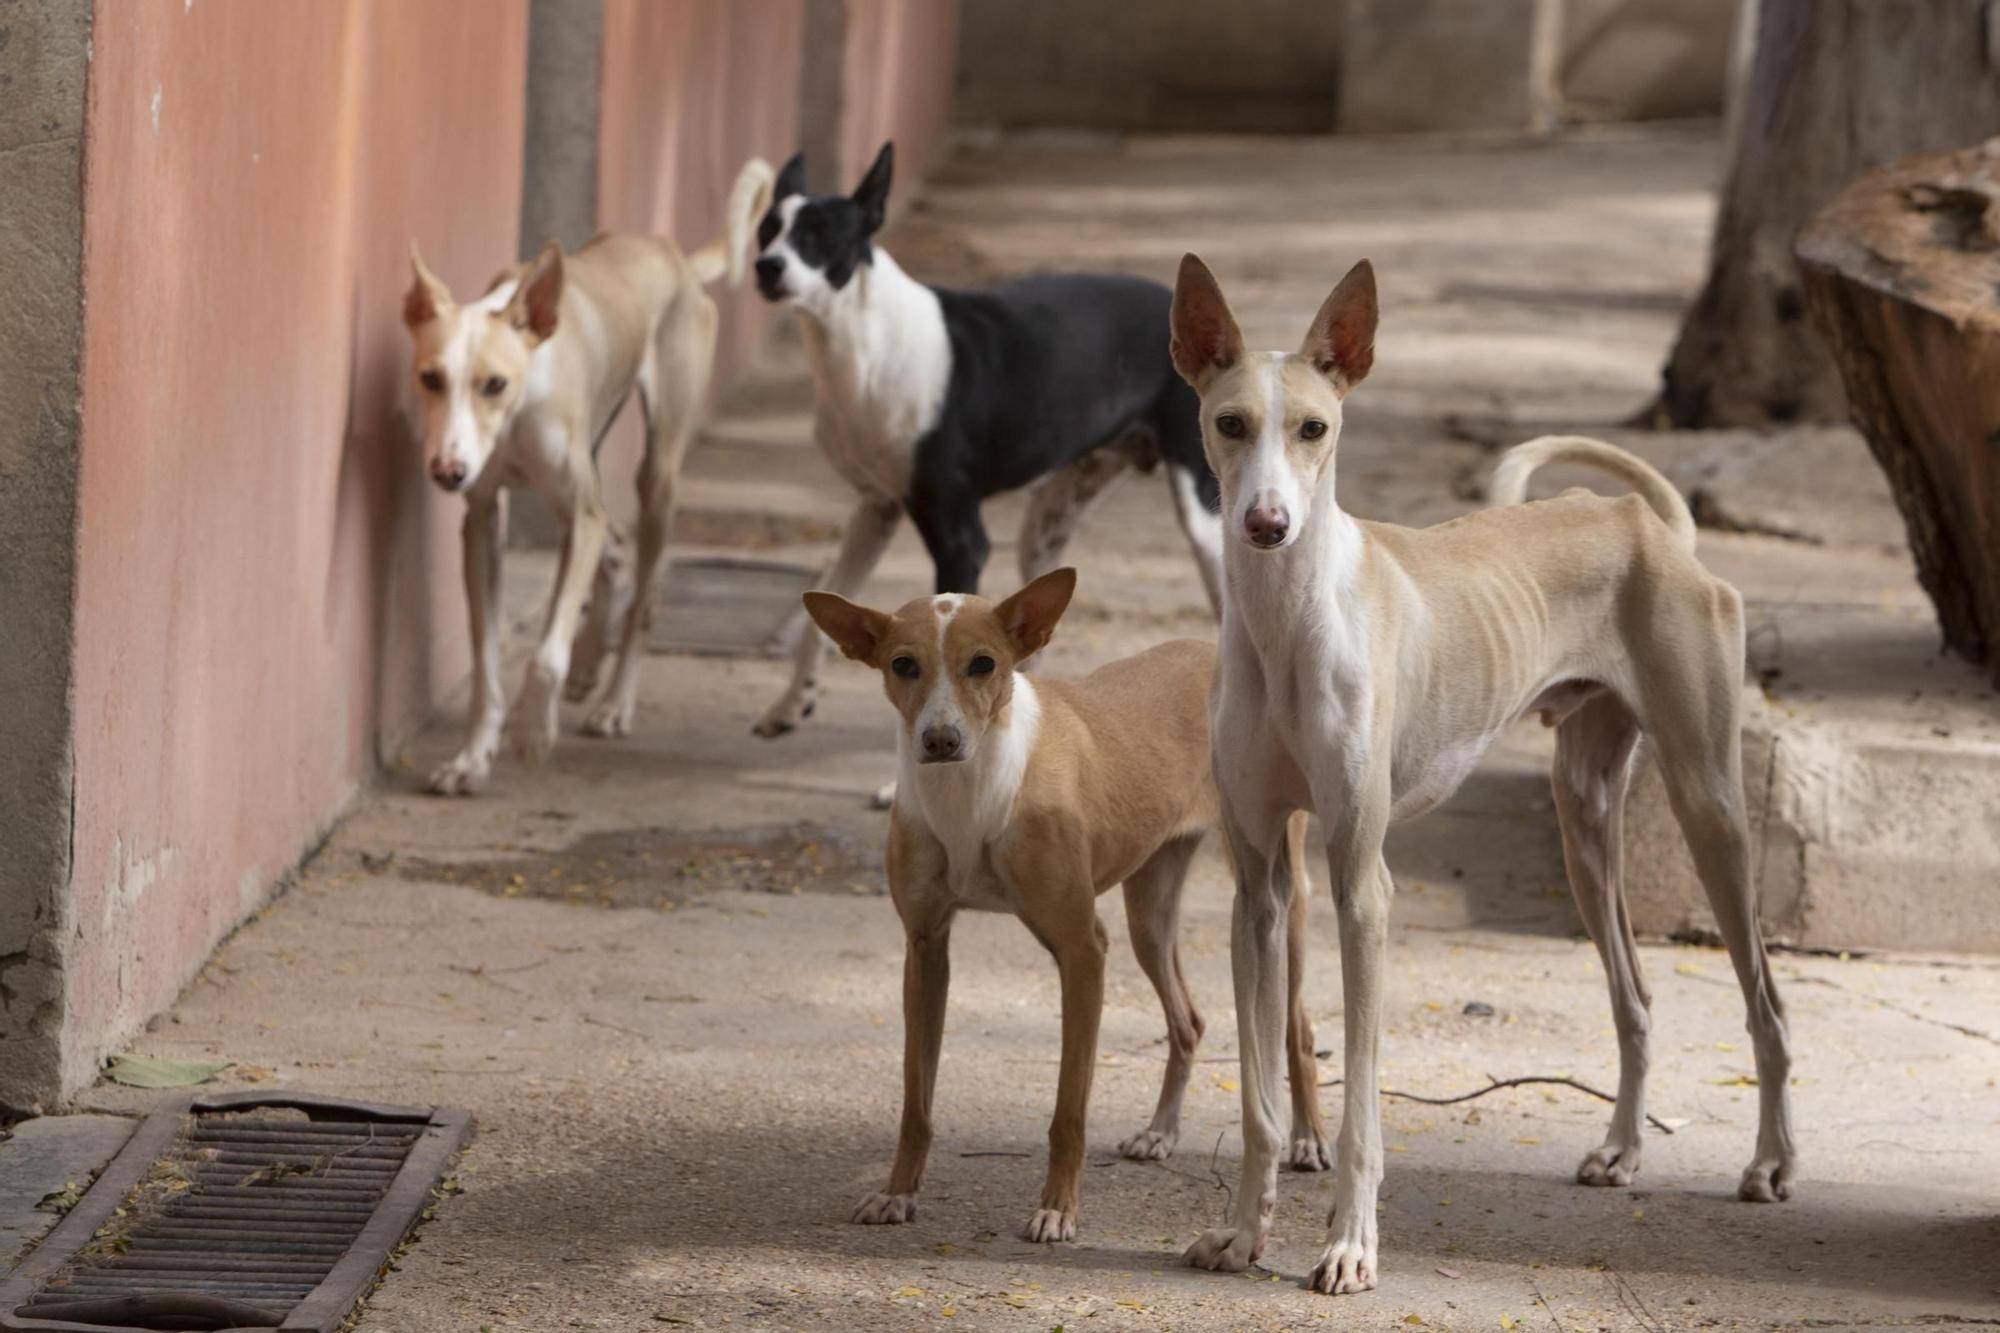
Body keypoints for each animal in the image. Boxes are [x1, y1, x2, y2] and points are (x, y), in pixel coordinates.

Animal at [404, 161, 772, 792]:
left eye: (494, 384)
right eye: (431, 378)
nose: (449, 471)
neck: (524, 395)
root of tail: (671, 253)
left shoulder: (580, 512)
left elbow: (543, 653)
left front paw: (532, 733)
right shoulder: (482, 521)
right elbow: (485, 659)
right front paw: (472, 757)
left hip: (655, 472)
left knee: (644, 591)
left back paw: (614, 703)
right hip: (587, 475)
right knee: (617, 553)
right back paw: (587, 667)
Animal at [752, 143, 1216, 736]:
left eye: (821, 232)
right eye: (767, 229)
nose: (767, 267)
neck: (865, 344)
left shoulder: (959, 537)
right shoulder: (876, 510)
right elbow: (821, 620)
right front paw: (791, 704)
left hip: (1205, 522)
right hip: (1046, 528)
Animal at [796, 564, 1328, 1240]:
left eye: (983, 663)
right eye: (903, 665)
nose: (940, 740)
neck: (974, 793)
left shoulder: (1082, 949)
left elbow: (1067, 1112)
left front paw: (1057, 1208)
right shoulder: (926, 949)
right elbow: (916, 1102)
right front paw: (897, 1194)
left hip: (1277, 909)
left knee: (1299, 1030)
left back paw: (1308, 1140)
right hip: (1149, 914)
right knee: (1188, 1019)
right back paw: (1160, 1132)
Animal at [1168, 254, 1808, 1288]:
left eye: (1314, 429)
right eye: (1230, 424)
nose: (1267, 524)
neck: (1287, 620)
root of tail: (1651, 524)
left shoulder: (1362, 884)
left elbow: (1361, 1112)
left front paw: (1350, 1246)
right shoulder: (1259, 886)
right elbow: (1261, 1102)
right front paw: (1241, 1232)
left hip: (1710, 806)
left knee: (1768, 1005)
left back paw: (1773, 1162)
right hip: (1584, 819)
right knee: (1635, 998)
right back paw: (1622, 1149)